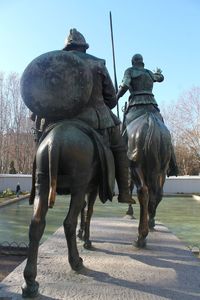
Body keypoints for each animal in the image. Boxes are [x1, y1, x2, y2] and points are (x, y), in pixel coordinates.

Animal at [21, 119, 114, 298]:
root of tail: (55, 141)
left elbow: (84, 210)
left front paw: (82, 234)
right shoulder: (91, 188)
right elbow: (89, 211)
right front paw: (86, 239)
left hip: (43, 181)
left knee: (36, 223)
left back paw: (30, 283)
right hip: (78, 183)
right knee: (68, 222)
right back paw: (76, 262)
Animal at [126, 111, 171, 247]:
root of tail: (150, 121)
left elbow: (129, 186)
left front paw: (129, 211)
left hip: (136, 166)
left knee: (143, 191)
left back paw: (141, 236)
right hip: (162, 168)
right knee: (157, 193)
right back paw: (150, 222)